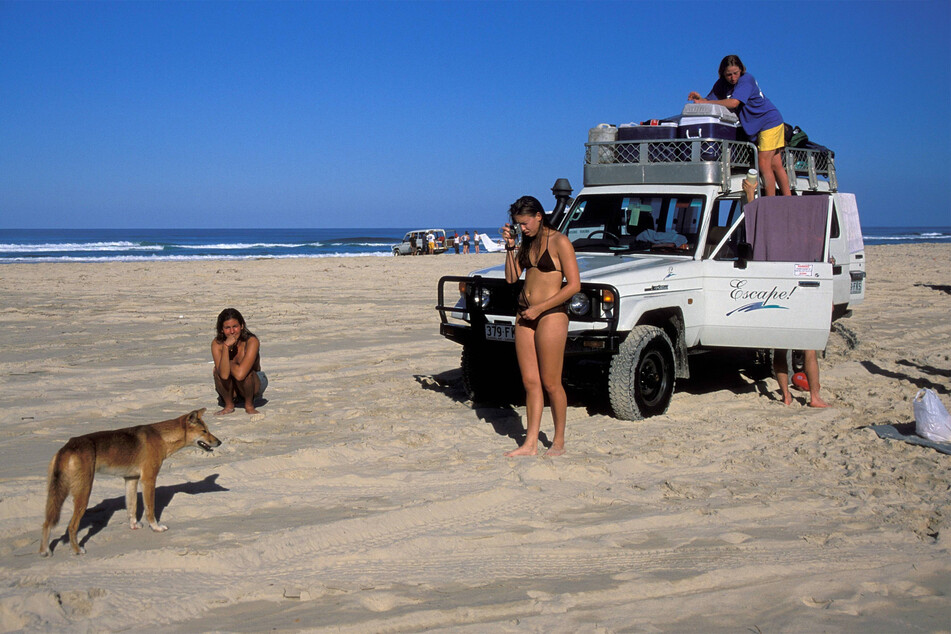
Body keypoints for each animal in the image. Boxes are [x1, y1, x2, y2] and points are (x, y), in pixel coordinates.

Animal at [39, 408, 221, 556]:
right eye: (204, 431)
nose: (219, 442)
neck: (162, 437)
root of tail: (68, 446)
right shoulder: (148, 479)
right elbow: (150, 509)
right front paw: (156, 528)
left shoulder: (131, 479)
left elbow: (132, 506)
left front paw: (133, 525)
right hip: (83, 492)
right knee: (71, 526)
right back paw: (77, 550)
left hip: (57, 492)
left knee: (47, 522)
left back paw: (45, 551)